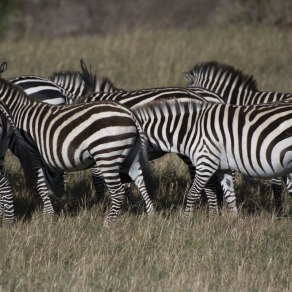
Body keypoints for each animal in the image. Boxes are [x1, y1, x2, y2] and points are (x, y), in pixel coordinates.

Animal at [0, 77, 155, 219]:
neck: (18, 110)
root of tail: (130, 114)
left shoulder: (31, 151)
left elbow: (40, 182)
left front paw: (47, 214)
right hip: (131, 156)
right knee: (141, 182)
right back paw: (150, 217)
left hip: (107, 155)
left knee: (118, 192)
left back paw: (108, 222)